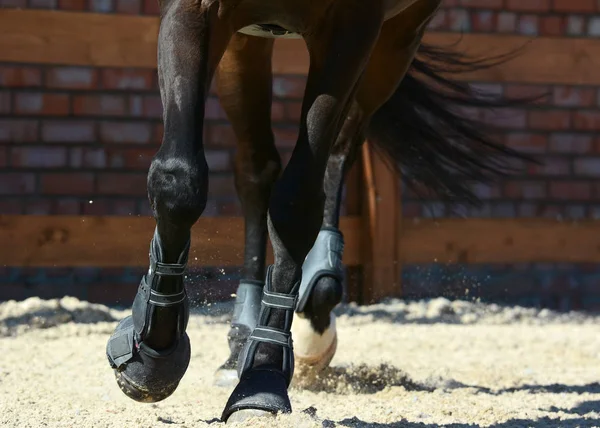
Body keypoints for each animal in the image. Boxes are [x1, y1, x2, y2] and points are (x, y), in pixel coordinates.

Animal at [104, 0, 536, 422]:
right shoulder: (196, 11)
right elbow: (179, 178)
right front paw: (154, 355)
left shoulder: (353, 29)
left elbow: (296, 202)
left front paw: (262, 379)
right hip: (247, 43)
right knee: (256, 170)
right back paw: (241, 335)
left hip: (398, 40)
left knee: (339, 151)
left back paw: (316, 298)